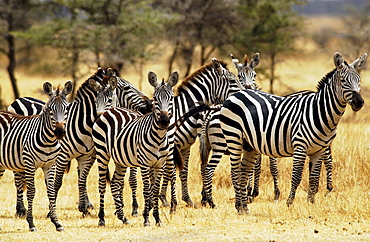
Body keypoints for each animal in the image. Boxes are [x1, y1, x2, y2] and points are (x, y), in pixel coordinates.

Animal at [0, 81, 73, 231]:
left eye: (66, 109)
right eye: (50, 109)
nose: (60, 132)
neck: (49, 141)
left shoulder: (50, 165)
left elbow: (51, 191)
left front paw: (57, 222)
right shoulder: (29, 164)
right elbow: (31, 191)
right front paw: (31, 223)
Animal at [93, 70, 178, 227]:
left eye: (171, 98)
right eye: (155, 98)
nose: (164, 121)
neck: (158, 137)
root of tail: (110, 112)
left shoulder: (159, 164)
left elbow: (154, 190)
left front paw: (157, 218)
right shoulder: (143, 164)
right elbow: (146, 190)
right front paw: (146, 218)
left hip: (129, 158)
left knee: (116, 183)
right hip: (102, 154)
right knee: (103, 184)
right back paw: (102, 219)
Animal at [158, 57, 243, 212]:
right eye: (233, 81)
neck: (182, 112)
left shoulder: (185, 146)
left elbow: (183, 171)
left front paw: (187, 199)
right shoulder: (172, 146)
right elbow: (169, 170)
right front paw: (165, 199)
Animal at [220, 51, 368, 214]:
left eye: (359, 80)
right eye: (343, 80)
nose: (359, 102)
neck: (319, 111)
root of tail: (237, 93)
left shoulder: (319, 150)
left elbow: (313, 178)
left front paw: (311, 204)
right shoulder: (300, 146)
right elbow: (296, 176)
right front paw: (289, 203)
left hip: (249, 144)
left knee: (244, 170)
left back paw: (244, 207)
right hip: (234, 138)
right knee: (235, 171)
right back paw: (239, 205)